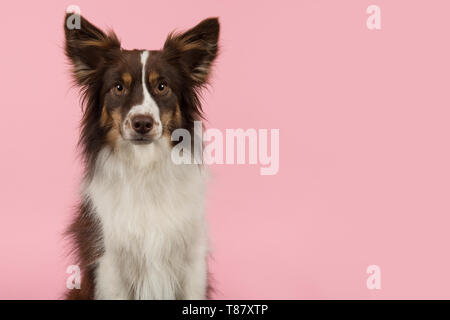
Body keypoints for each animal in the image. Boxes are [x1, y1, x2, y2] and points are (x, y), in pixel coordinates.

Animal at [62, 11, 218, 298]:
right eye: (118, 87)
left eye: (162, 86)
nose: (142, 123)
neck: (144, 166)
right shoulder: (110, 264)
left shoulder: (192, 262)